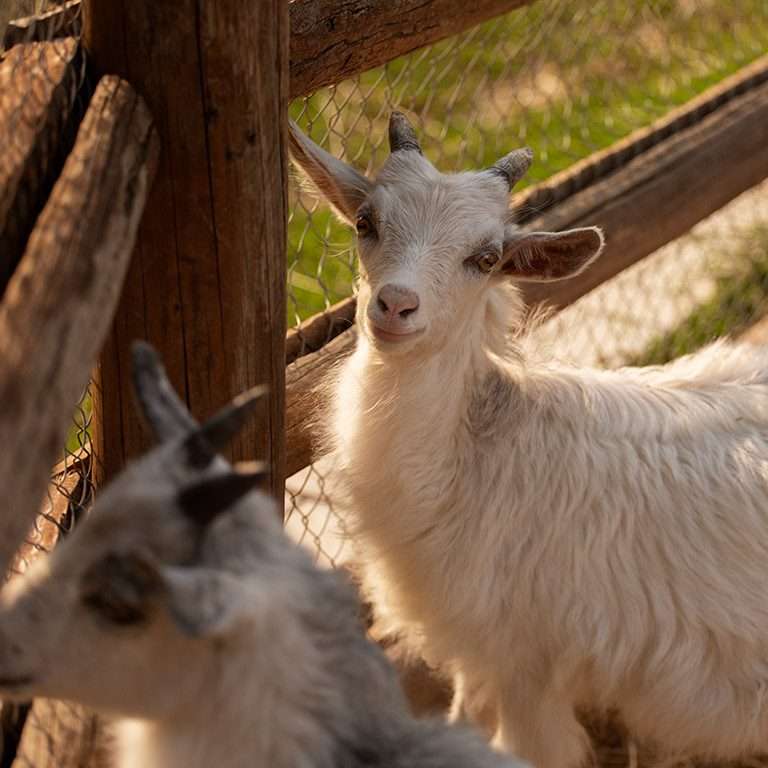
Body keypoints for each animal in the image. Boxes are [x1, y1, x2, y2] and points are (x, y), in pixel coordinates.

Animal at [289, 112, 768, 768]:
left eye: (486, 257)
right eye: (367, 222)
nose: (395, 306)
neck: (476, 457)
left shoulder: (528, 662)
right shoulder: (479, 650)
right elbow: (463, 721)